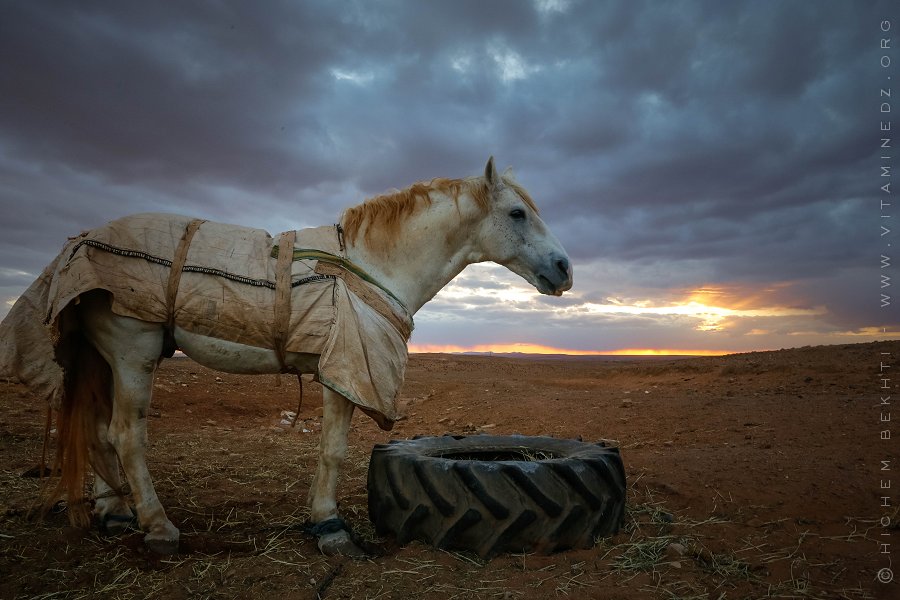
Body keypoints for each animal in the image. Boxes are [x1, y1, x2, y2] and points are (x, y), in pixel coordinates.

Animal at [0, 157, 572, 557]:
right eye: (517, 213)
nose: (565, 268)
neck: (370, 265)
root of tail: (79, 243)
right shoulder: (344, 371)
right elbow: (333, 450)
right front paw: (329, 526)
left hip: (104, 357)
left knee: (96, 430)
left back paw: (116, 512)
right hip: (132, 350)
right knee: (124, 434)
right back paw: (158, 526)